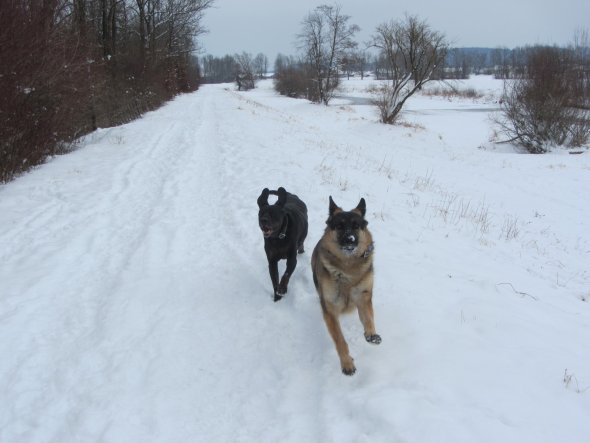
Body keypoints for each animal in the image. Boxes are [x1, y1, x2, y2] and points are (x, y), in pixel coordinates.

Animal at [312, 197, 382, 374]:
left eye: (356, 226)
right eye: (339, 226)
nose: (350, 239)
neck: (348, 268)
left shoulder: (364, 297)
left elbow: (369, 319)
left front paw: (371, 334)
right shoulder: (330, 311)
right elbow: (340, 340)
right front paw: (347, 363)